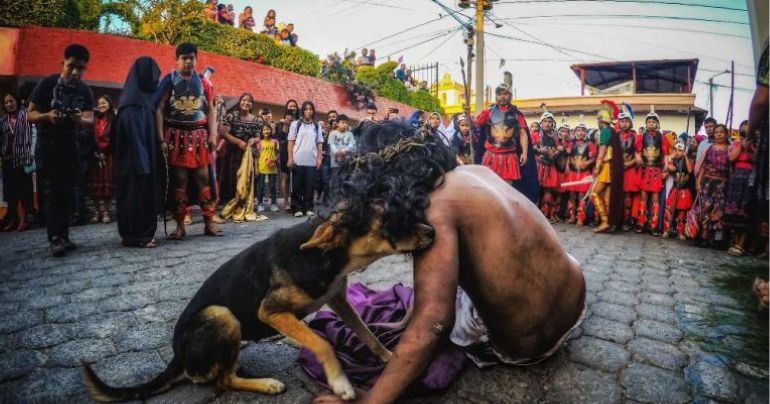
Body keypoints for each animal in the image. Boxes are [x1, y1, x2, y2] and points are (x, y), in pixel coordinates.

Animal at [84, 211, 436, 400]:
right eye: (392, 220)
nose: (432, 230)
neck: (324, 255)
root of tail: (177, 358)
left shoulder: (337, 299)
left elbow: (368, 335)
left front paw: (390, 357)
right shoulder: (271, 311)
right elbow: (321, 343)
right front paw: (341, 384)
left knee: (222, 373)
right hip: (222, 315)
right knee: (222, 381)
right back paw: (265, 384)